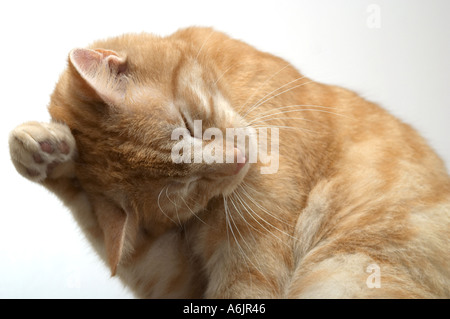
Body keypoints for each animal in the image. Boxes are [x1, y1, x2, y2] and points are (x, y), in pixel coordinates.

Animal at [7, 27, 450, 300]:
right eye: (187, 188)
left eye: (191, 125)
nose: (238, 160)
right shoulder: (171, 278)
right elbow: (104, 232)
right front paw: (45, 152)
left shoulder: (253, 255)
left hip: (345, 269)